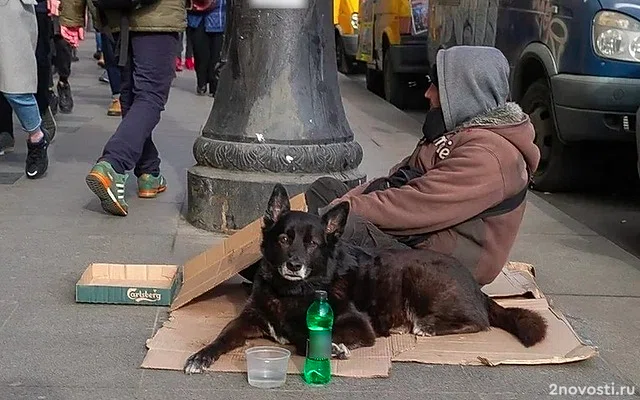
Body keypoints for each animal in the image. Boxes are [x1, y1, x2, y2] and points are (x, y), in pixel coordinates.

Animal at [182, 184, 548, 376]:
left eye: (313, 243)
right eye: (284, 239)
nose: (294, 265)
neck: (291, 291)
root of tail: (474, 283)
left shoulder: (358, 326)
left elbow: (305, 337)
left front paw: (330, 347)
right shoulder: (248, 320)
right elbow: (223, 335)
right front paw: (202, 355)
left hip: (420, 276)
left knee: (479, 321)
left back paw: (428, 326)